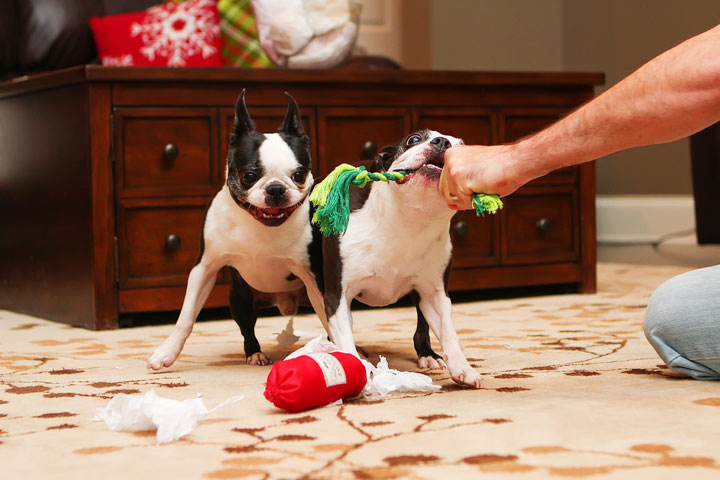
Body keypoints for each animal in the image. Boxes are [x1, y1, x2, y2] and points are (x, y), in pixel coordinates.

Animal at [146, 90, 326, 370]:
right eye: (249, 176)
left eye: (298, 174)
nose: (276, 188)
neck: (260, 225)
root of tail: (283, 301)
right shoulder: (205, 267)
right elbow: (186, 317)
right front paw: (167, 352)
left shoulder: (312, 276)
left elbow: (333, 319)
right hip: (241, 297)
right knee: (247, 326)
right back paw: (255, 353)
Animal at [318, 129, 480, 388]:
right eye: (414, 139)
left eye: (463, 149)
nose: (443, 142)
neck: (410, 221)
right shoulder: (337, 294)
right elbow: (343, 334)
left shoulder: (434, 291)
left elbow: (448, 331)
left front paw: (463, 367)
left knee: (422, 325)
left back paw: (429, 355)